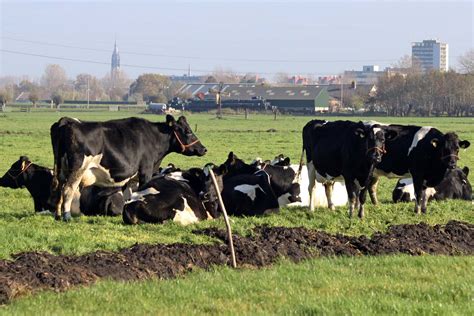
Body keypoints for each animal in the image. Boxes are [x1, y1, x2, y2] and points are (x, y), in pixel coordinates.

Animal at [49, 115, 206, 221]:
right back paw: (67, 216)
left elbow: (127, 196)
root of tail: (67, 121)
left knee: (59, 189)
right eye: (188, 131)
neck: (153, 137)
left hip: (61, 170)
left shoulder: (131, 178)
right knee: (68, 189)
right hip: (77, 169)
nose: (204, 149)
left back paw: (58, 215)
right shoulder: (146, 171)